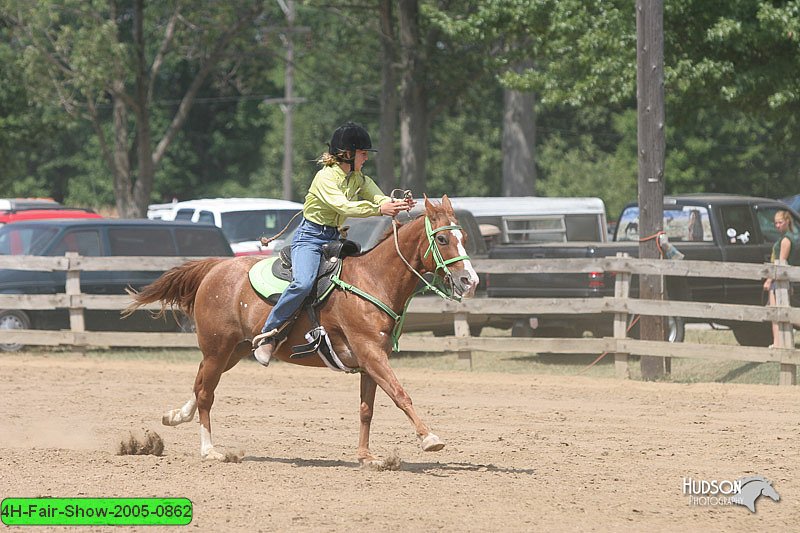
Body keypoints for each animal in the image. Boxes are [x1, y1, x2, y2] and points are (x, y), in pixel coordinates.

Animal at [124, 196, 476, 466]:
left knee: (199, 385)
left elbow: (367, 409)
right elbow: (401, 394)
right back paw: (210, 450)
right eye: (442, 239)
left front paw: (366, 456)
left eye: (463, 237)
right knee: (206, 393)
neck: (371, 280)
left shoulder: (371, 360)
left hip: (234, 350)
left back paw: (175, 417)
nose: (469, 280)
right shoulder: (371, 354)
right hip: (217, 349)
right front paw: (430, 438)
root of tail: (215, 267)